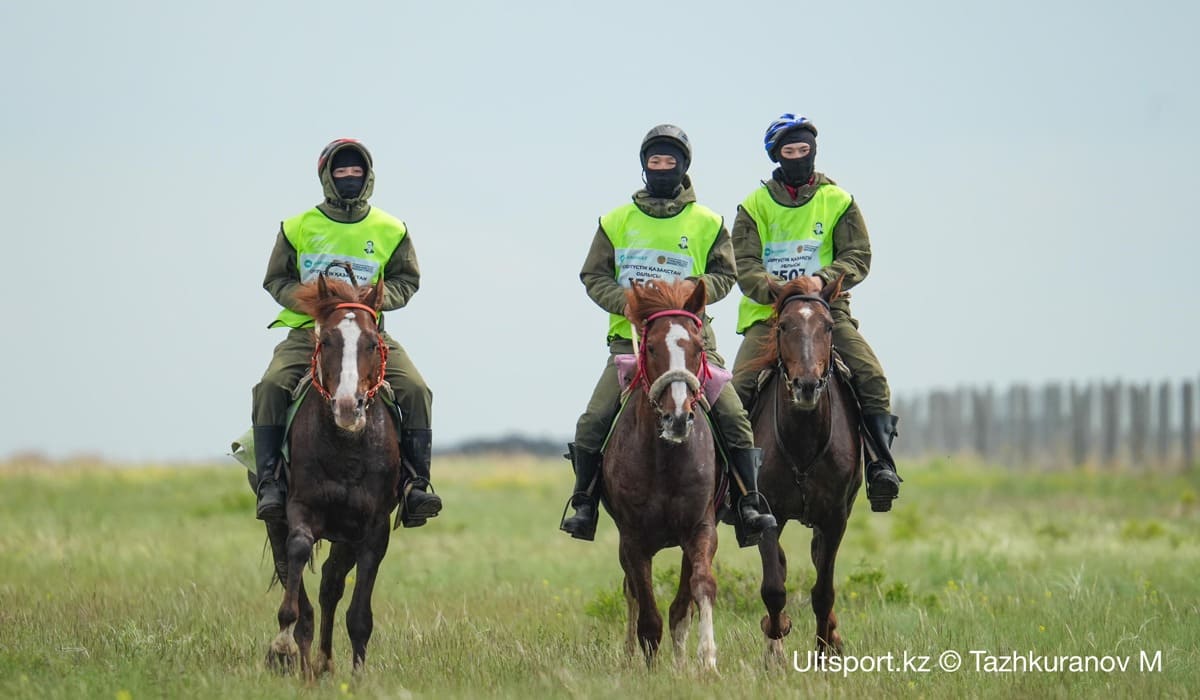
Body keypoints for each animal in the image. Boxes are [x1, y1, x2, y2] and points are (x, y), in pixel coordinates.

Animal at [264, 273, 403, 677]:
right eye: (325, 341)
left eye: (372, 342)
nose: (346, 406)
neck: (347, 448)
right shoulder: (299, 509)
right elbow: (297, 551)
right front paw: (282, 645)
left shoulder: (374, 529)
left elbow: (358, 615)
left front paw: (357, 678)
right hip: (277, 521)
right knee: (296, 576)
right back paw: (304, 663)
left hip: (346, 535)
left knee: (330, 584)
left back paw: (324, 662)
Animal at [604, 276, 715, 672]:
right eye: (650, 347)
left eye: (698, 346)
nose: (677, 418)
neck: (666, 460)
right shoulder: (633, 538)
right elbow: (647, 613)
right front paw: (650, 669)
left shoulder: (700, 527)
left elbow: (699, 589)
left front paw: (706, 660)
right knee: (632, 594)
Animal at [748, 276, 864, 667]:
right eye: (784, 326)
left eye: (827, 327)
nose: (807, 386)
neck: (803, 439)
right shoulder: (767, 510)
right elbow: (773, 586)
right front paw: (775, 643)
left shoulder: (835, 517)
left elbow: (823, 590)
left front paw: (825, 652)